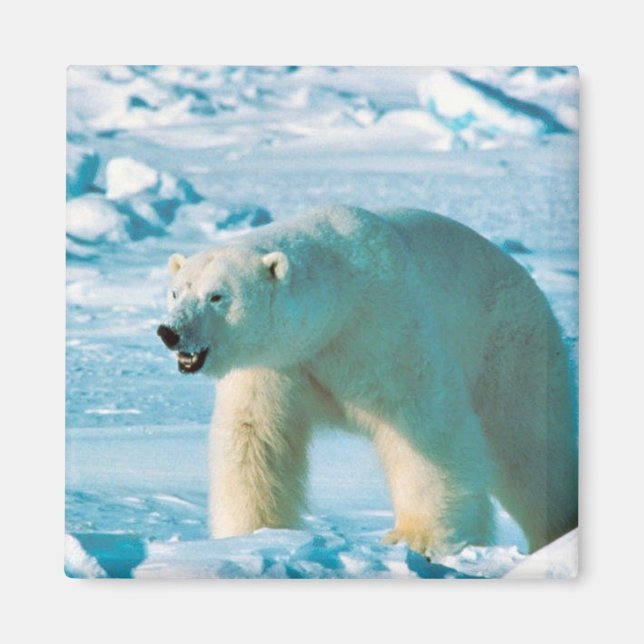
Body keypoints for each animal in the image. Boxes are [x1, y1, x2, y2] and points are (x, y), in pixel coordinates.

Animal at [157, 205, 578, 556]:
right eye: (175, 293)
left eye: (217, 296)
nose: (169, 332)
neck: (337, 308)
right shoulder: (275, 364)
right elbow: (254, 437)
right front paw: (250, 536)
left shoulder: (383, 327)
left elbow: (425, 425)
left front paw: (418, 537)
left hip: (510, 348)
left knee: (528, 446)